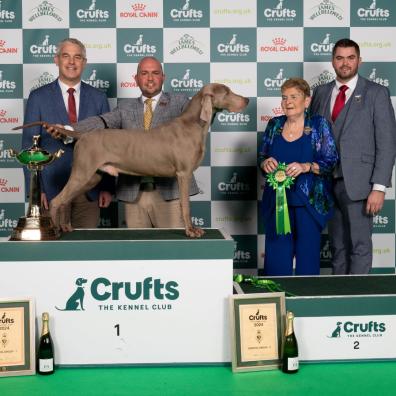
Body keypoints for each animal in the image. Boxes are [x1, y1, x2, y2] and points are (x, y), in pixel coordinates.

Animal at [17, 83, 251, 237]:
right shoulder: (183, 174)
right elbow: (185, 206)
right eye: (227, 92)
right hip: (83, 173)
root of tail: (82, 135)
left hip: (91, 177)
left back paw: (65, 227)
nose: (247, 99)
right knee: (57, 200)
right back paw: (55, 231)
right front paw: (191, 231)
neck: (193, 124)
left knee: (66, 200)